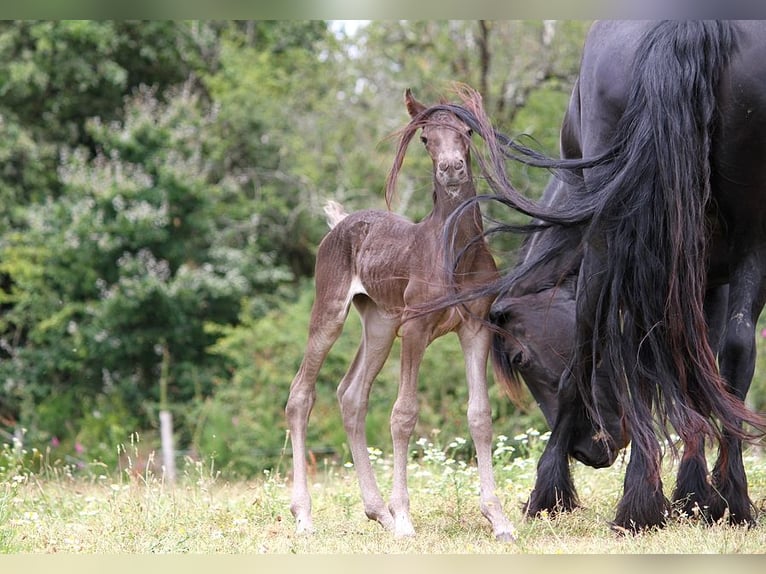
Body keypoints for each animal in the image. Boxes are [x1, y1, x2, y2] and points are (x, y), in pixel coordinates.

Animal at [286, 90, 516, 544]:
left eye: (467, 132)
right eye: (426, 139)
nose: (451, 169)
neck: (455, 254)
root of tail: (338, 224)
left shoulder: (475, 328)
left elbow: (479, 416)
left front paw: (498, 520)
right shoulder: (416, 328)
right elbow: (403, 415)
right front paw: (407, 518)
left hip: (379, 323)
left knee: (351, 395)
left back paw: (379, 513)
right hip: (332, 312)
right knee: (302, 393)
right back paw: (305, 515)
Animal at [444, 22, 766, 536]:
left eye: (519, 357)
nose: (589, 451)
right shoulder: (703, 274)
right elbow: (695, 365)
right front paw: (692, 495)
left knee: (603, 345)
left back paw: (606, 499)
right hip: (746, 235)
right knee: (733, 349)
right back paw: (729, 502)